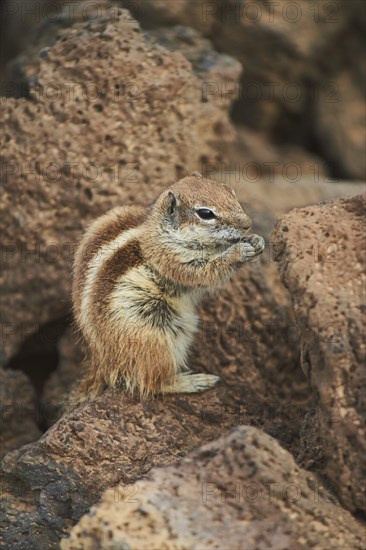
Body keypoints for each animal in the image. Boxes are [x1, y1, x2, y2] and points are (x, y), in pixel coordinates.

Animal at [68, 174, 264, 410]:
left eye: (231, 192)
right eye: (205, 213)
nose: (247, 224)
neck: (162, 230)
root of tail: (102, 361)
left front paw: (257, 241)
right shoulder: (172, 258)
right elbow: (206, 273)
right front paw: (239, 251)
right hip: (154, 340)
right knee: (151, 382)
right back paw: (194, 381)